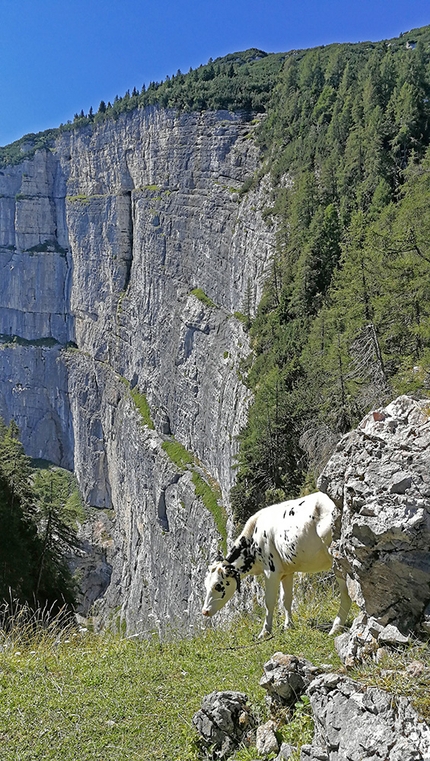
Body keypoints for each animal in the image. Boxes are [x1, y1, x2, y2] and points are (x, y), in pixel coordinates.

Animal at [203, 490, 352, 640]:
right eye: (206, 586)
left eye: (217, 585)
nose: (205, 611)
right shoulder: (287, 571)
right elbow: (286, 599)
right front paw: (288, 626)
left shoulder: (271, 571)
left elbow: (269, 602)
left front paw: (265, 631)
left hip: (337, 560)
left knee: (346, 593)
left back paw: (336, 628)